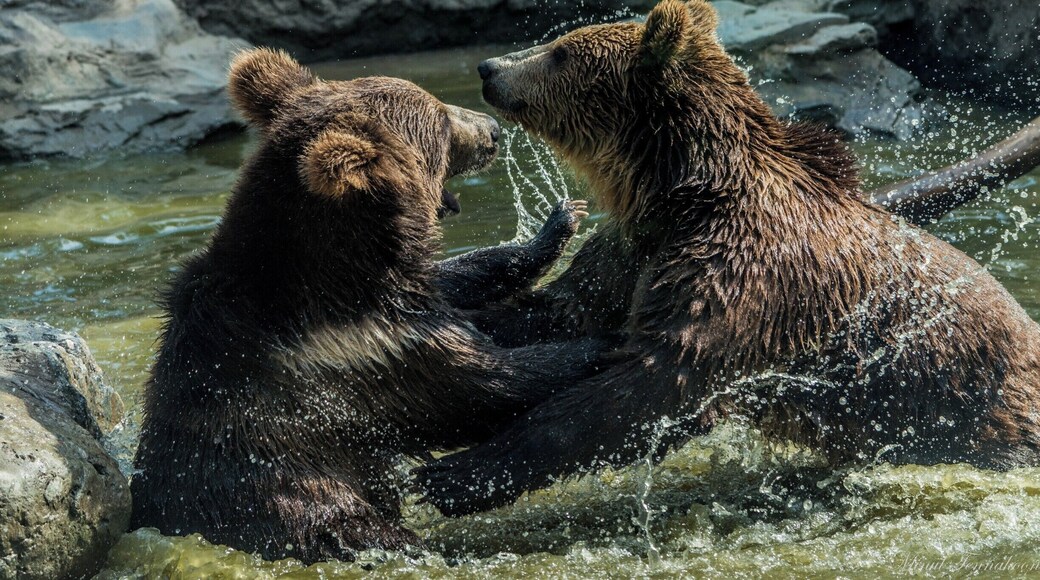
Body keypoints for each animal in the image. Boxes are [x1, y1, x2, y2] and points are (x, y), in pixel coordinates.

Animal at [130, 48, 606, 564]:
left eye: (436, 103)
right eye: (441, 121)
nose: (492, 130)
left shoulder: (393, 306)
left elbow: (454, 282)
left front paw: (557, 224)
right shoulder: (359, 353)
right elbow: (482, 386)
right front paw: (594, 347)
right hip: (307, 512)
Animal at [416, 0, 1040, 517]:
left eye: (561, 51)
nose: (489, 68)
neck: (677, 190)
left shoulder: (746, 275)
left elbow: (657, 384)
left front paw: (451, 476)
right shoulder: (635, 252)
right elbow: (563, 309)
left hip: (978, 413)